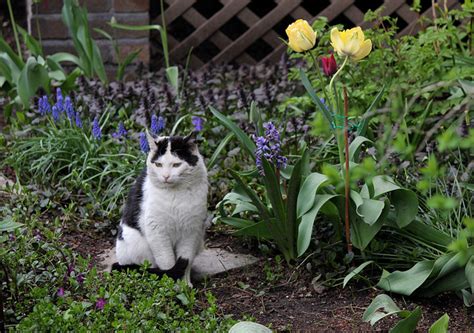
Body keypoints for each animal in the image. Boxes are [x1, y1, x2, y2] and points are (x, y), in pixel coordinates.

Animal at [114, 132, 208, 286]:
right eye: (158, 164)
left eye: (176, 164)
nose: (165, 176)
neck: (175, 194)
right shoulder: (157, 232)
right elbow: (168, 263)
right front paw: (171, 286)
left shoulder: (191, 231)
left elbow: (186, 261)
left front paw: (185, 285)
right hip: (137, 244)